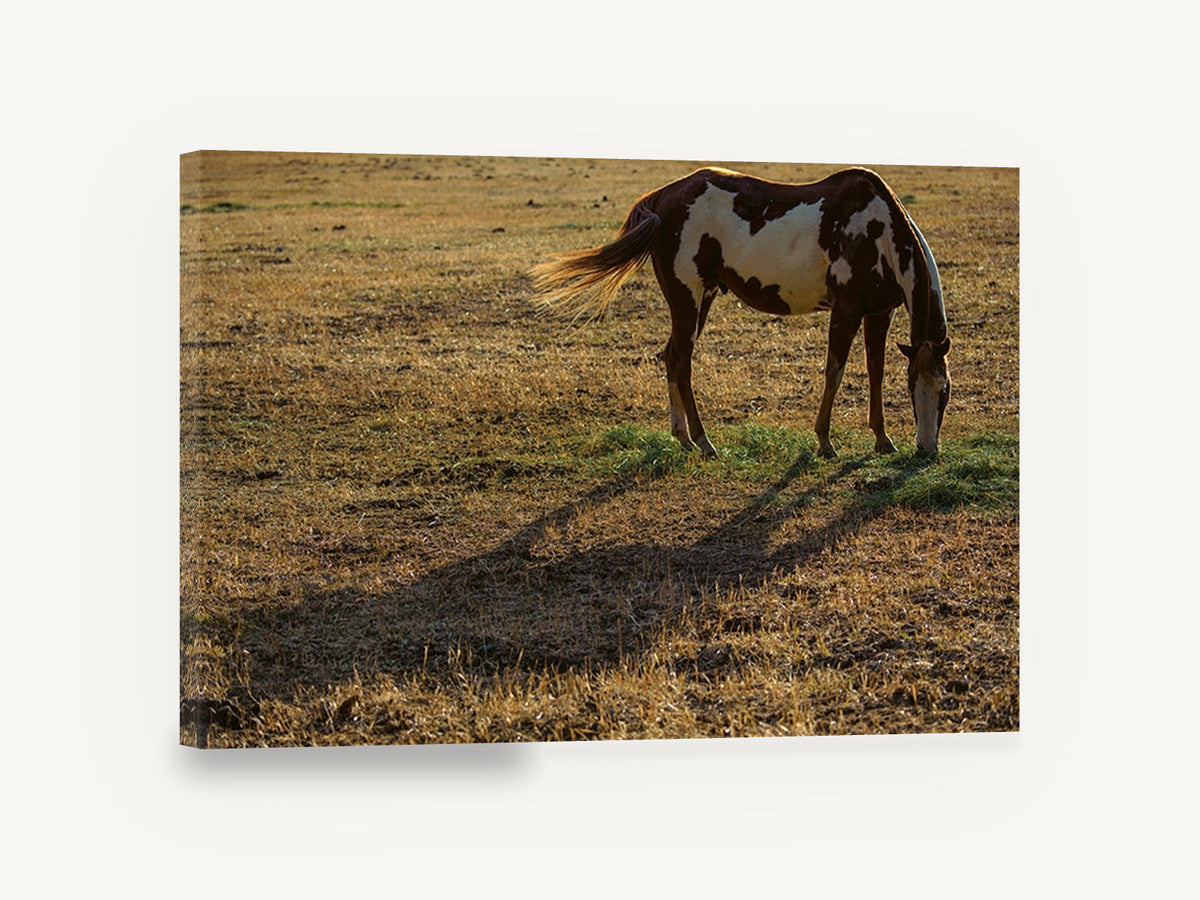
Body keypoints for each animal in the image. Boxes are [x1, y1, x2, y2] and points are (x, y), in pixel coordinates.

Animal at [532, 166, 951, 459]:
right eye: (914, 391)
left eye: (944, 391)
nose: (927, 449)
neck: (877, 231)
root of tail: (663, 197)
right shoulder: (845, 310)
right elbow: (835, 371)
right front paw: (824, 441)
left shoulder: (879, 312)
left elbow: (875, 371)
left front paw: (882, 438)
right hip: (688, 299)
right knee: (681, 362)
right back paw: (703, 442)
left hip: (700, 300)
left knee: (670, 356)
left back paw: (683, 437)